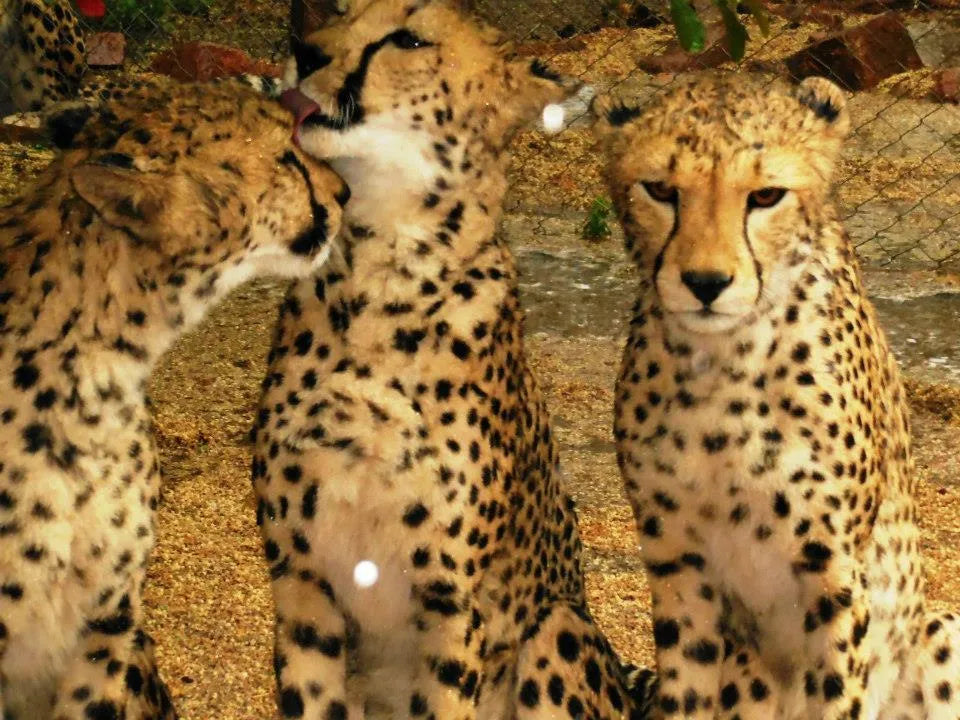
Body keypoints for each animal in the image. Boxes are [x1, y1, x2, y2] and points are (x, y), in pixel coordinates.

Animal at [248, 0, 657, 718]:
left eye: (409, 39)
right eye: (341, 11)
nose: (304, 51)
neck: (376, 280)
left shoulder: (449, 603)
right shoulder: (301, 583)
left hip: (557, 628)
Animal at [592, 71, 960, 720]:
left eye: (766, 196)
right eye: (660, 189)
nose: (706, 283)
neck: (722, 365)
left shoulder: (833, 574)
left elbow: (837, 695)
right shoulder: (679, 565)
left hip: (942, 630)